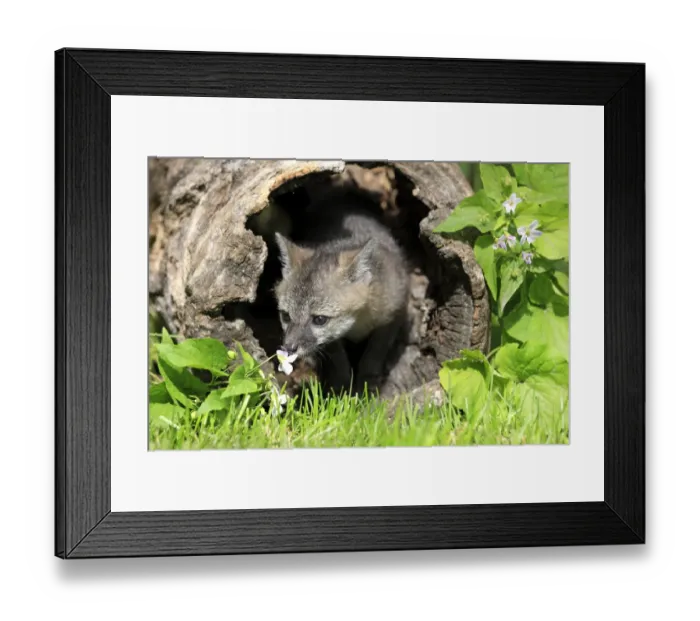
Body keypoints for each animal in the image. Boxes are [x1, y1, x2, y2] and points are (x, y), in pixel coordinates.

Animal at [274, 197, 409, 394]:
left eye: (319, 319)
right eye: (285, 316)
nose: (289, 348)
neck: (358, 324)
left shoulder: (393, 315)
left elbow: (373, 355)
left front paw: (367, 386)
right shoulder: (333, 342)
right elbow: (339, 361)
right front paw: (342, 389)